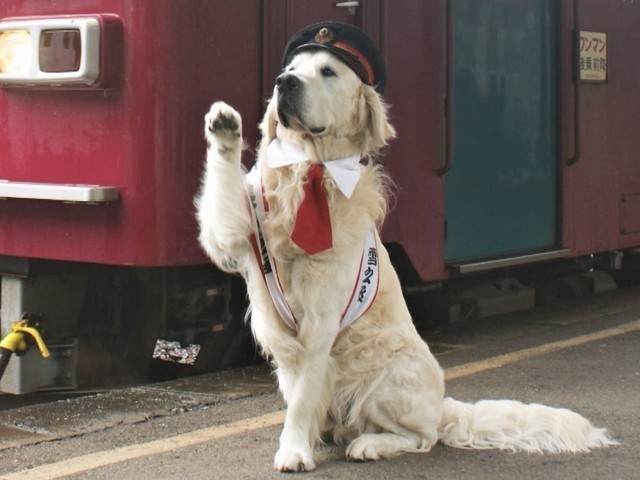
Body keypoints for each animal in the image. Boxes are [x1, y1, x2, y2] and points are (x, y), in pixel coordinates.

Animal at [195, 23, 616, 472]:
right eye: (292, 68)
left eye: (327, 71)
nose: (283, 83)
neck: (311, 170)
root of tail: (445, 405)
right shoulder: (236, 236)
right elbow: (222, 201)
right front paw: (224, 128)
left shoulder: (321, 320)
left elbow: (303, 398)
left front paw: (292, 450)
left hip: (384, 373)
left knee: (422, 438)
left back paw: (369, 445)